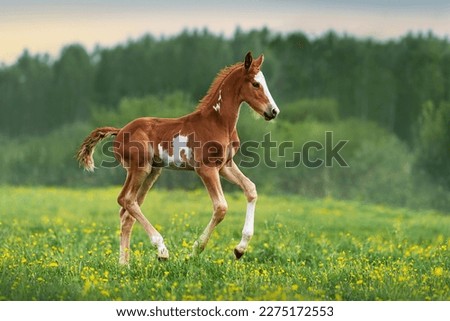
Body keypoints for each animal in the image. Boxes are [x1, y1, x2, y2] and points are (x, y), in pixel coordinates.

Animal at [79, 52, 280, 262]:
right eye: (255, 84)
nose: (273, 111)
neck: (218, 123)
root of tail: (119, 132)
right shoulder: (206, 169)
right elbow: (221, 207)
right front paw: (195, 250)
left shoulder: (225, 166)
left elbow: (251, 189)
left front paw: (240, 249)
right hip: (140, 168)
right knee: (125, 200)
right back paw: (161, 250)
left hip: (152, 172)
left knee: (127, 213)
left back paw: (124, 264)